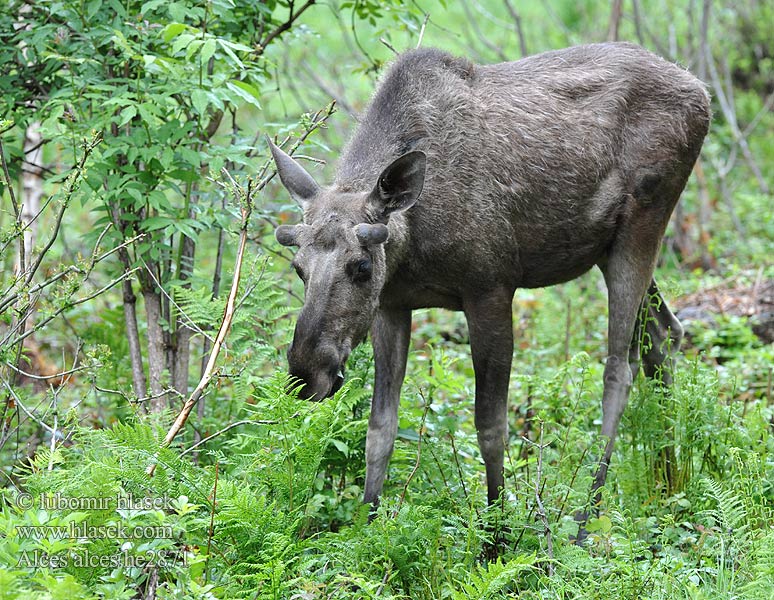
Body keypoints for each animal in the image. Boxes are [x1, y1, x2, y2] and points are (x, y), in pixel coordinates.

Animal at [270, 42, 712, 540]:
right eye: (298, 268)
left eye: (362, 266)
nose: (306, 372)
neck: (414, 244)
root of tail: (702, 93)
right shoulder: (391, 306)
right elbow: (380, 428)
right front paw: (367, 528)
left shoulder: (491, 289)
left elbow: (490, 428)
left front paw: (497, 535)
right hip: (607, 245)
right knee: (665, 332)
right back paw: (669, 479)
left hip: (641, 227)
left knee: (620, 365)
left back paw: (588, 515)